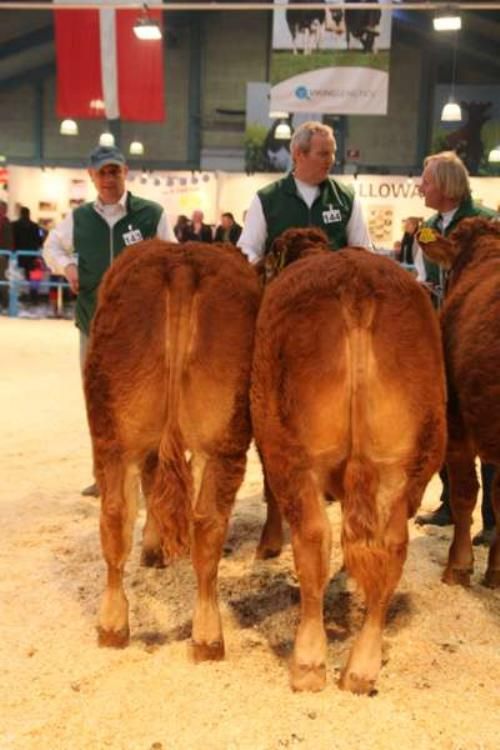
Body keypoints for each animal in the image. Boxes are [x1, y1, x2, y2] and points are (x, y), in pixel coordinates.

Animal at [83, 239, 260, 656]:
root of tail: (181, 264)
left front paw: (155, 547)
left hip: (124, 432)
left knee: (123, 515)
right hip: (206, 437)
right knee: (195, 522)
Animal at [250, 228, 446, 692]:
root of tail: (356, 282)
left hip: (290, 448)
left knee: (313, 539)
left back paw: (308, 663)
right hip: (407, 462)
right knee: (392, 546)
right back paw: (362, 667)